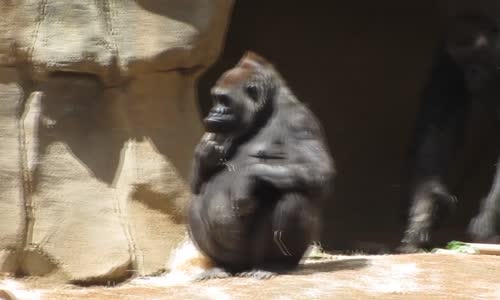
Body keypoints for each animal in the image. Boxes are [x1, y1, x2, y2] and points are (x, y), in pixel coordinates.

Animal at [186, 51, 334, 278]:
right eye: (216, 99)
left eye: (224, 100)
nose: (214, 112)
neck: (266, 111)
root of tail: (243, 266)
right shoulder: (214, 131)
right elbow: (196, 184)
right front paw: (204, 155)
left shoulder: (299, 118)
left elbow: (318, 169)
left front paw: (246, 181)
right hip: (236, 261)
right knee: (195, 201)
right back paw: (221, 265)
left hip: (261, 257)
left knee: (294, 196)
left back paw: (275, 264)